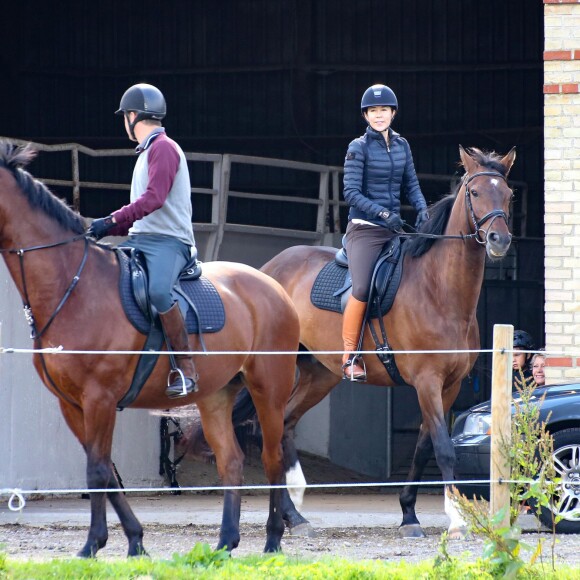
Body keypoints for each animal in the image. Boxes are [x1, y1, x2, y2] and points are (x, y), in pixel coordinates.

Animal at [0, 142, 300, 556]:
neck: (74, 286)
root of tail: (275, 288)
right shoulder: (71, 403)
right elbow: (106, 470)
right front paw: (134, 541)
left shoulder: (99, 399)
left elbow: (97, 469)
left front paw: (92, 544)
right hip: (216, 396)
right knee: (232, 461)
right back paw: (225, 543)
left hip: (268, 390)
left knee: (272, 460)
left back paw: (272, 539)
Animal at [253, 146, 512, 540]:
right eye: (475, 192)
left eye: (509, 194)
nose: (500, 240)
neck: (440, 290)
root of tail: (269, 268)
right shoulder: (427, 382)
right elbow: (444, 448)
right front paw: (456, 520)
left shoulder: (449, 386)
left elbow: (424, 447)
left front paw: (409, 515)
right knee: (274, 427)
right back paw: (289, 513)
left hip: (320, 375)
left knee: (285, 422)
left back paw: (294, 515)